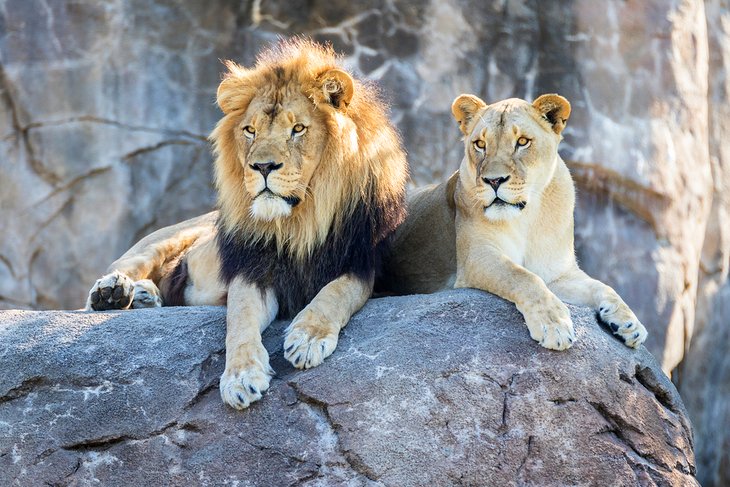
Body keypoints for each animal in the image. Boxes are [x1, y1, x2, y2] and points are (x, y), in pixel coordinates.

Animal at [84, 41, 410, 408]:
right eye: (250, 130)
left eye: (298, 129)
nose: (262, 166)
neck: (299, 222)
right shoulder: (252, 269)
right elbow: (239, 320)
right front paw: (241, 377)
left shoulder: (362, 263)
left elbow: (336, 292)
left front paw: (308, 338)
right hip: (160, 241)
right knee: (121, 271)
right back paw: (114, 292)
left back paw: (144, 296)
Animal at [378, 92, 644, 350]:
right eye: (480, 144)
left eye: (522, 142)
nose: (494, 181)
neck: (528, 218)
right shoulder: (477, 256)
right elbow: (523, 277)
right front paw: (554, 325)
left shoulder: (558, 273)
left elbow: (602, 286)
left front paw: (629, 323)